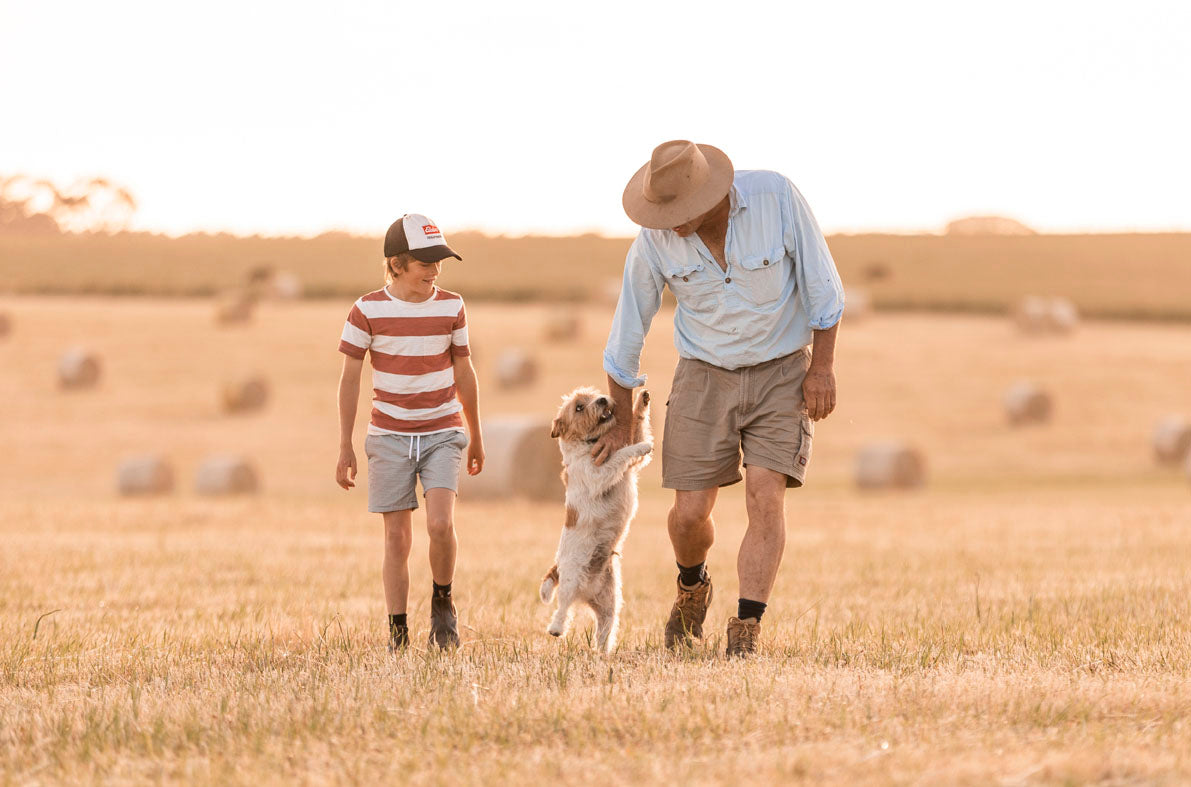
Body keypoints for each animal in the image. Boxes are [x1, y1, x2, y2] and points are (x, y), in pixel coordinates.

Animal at [540, 385, 652, 652]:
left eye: (593, 394)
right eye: (579, 407)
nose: (602, 400)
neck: (588, 443)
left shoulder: (630, 464)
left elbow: (637, 431)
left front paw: (641, 400)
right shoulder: (598, 474)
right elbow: (624, 453)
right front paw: (642, 447)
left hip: (609, 602)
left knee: (604, 627)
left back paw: (603, 651)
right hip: (570, 579)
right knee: (563, 608)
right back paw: (556, 629)